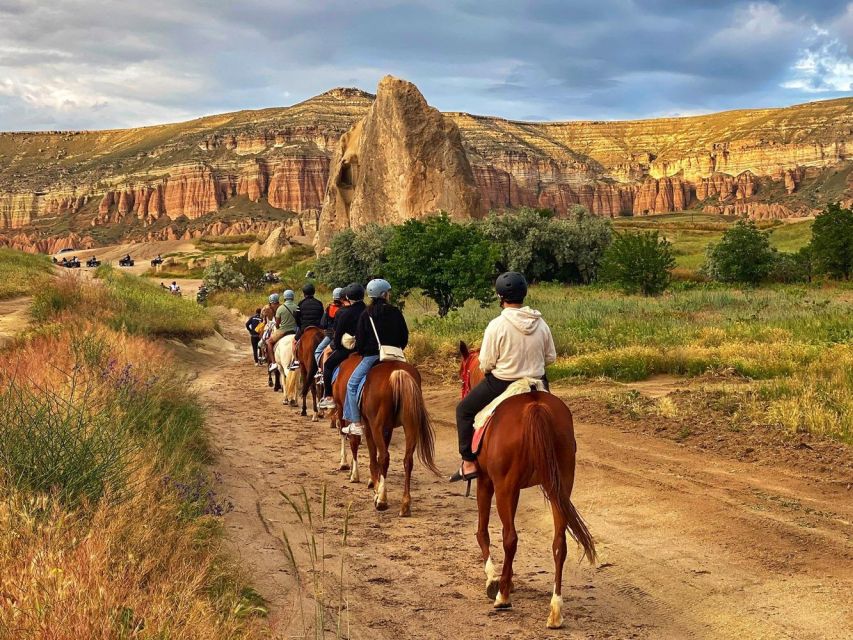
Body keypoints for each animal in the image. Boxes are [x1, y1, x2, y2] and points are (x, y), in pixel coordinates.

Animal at [460, 342, 592, 628]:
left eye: (462, 377)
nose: (463, 389)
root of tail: (535, 407)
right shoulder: (517, 488)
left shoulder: (487, 482)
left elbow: (482, 531)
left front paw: (493, 580)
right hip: (559, 486)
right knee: (559, 543)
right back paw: (555, 610)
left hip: (504, 487)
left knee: (510, 538)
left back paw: (503, 598)